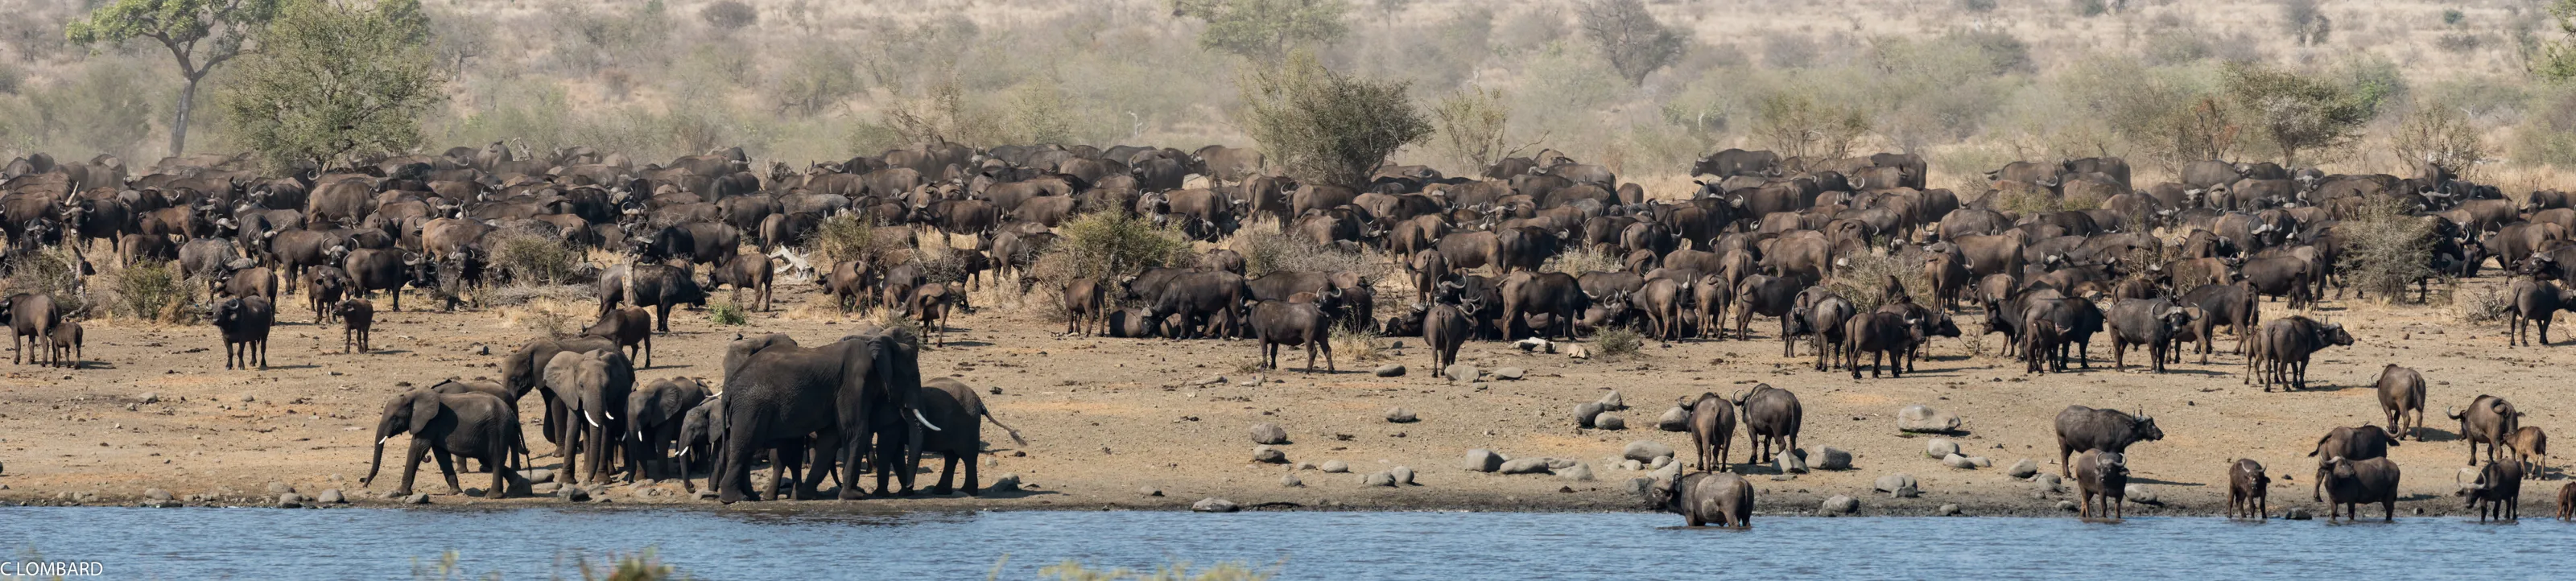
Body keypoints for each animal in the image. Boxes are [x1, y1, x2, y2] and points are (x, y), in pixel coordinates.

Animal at [361, 390, 521, 498]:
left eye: (395, 418)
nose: (364, 485)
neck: (413, 396)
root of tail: (512, 414)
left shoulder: (429, 423)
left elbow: (417, 449)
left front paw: (400, 492)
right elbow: (441, 455)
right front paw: (454, 493)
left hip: (498, 429)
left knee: (496, 460)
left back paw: (492, 496)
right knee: (489, 460)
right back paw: (517, 483)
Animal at [543, 349, 637, 486]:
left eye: (607, 386)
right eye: (581, 385)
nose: (589, 480)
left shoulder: (611, 397)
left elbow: (605, 431)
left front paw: (602, 481)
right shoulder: (572, 395)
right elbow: (573, 430)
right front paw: (566, 482)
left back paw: (610, 471)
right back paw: (587, 469)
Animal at [629, 376, 711, 481]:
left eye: (641, 414)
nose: (630, 481)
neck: (648, 391)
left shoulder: (667, 414)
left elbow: (662, 440)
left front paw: (662, 478)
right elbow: (642, 440)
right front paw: (641, 479)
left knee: (699, 442)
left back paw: (702, 471)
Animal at [713, 325, 937, 503]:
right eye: (912, 378)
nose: (909, 488)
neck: (875, 345)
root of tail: (730, 387)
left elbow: (831, 439)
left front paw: (808, 495)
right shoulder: (853, 383)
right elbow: (854, 431)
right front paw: (853, 496)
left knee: (747, 448)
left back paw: (750, 497)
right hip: (751, 406)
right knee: (744, 445)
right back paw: (734, 499)